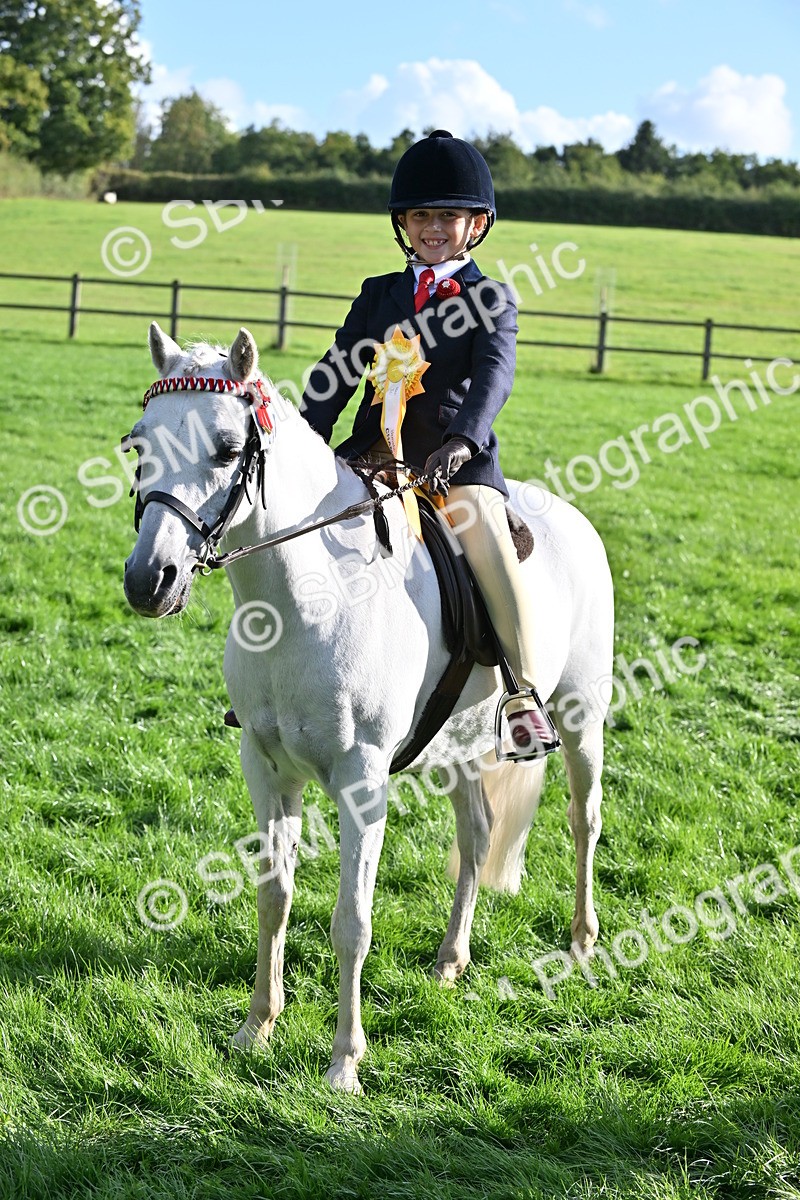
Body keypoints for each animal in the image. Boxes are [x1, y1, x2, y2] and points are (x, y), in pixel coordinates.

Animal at [122, 322, 615, 1093]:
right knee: (478, 835)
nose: (151, 580)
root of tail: (570, 516)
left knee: (582, 820)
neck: (302, 602)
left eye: (228, 448)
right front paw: (256, 1029)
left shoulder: (361, 782)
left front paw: (344, 1064)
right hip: (460, 745)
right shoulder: (265, 768)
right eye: (140, 444)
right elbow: (274, 897)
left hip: (580, 715)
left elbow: (351, 921)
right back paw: (450, 960)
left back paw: (582, 944)